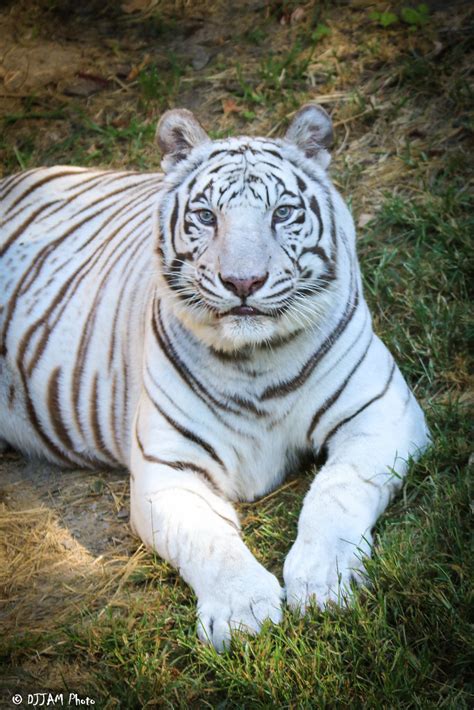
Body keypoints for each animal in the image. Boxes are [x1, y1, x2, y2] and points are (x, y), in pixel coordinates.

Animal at [0, 103, 430, 652]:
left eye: (282, 213)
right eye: (207, 216)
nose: (243, 282)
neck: (257, 360)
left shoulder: (382, 414)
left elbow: (336, 491)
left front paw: (325, 580)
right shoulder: (169, 469)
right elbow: (208, 540)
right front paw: (243, 611)